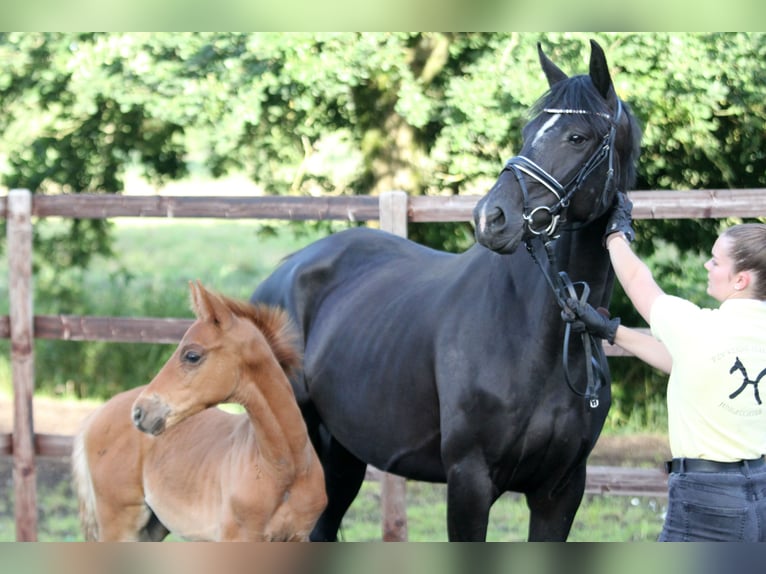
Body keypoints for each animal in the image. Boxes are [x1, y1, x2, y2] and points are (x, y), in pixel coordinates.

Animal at [252, 41, 640, 544]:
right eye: (528, 131)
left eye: (578, 137)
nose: (491, 217)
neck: (542, 338)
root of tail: (284, 271)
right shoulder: (469, 481)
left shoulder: (560, 492)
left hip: (340, 457)